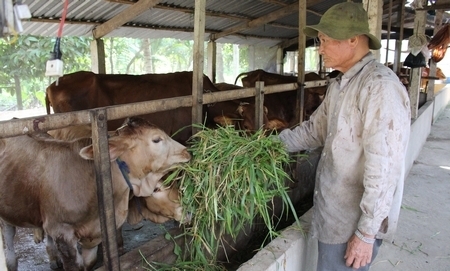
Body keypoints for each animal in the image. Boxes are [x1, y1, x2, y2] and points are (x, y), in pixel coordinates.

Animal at [0, 118, 190, 270]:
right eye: (156, 139)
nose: (186, 151)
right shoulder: (62, 232)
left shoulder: (94, 234)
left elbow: (89, 263)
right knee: (10, 250)